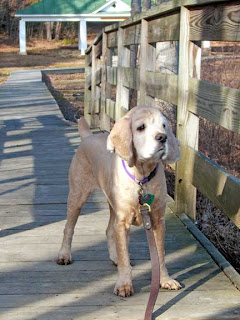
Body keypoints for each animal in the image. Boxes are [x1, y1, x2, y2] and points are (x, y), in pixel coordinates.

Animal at [57, 105, 182, 298]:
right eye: (141, 127)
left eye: (164, 126)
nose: (162, 137)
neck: (141, 177)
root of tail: (88, 137)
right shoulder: (123, 223)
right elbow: (125, 255)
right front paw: (124, 285)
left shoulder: (157, 221)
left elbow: (160, 255)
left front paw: (165, 280)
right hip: (77, 196)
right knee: (69, 229)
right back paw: (64, 255)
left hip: (113, 207)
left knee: (109, 231)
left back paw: (114, 257)